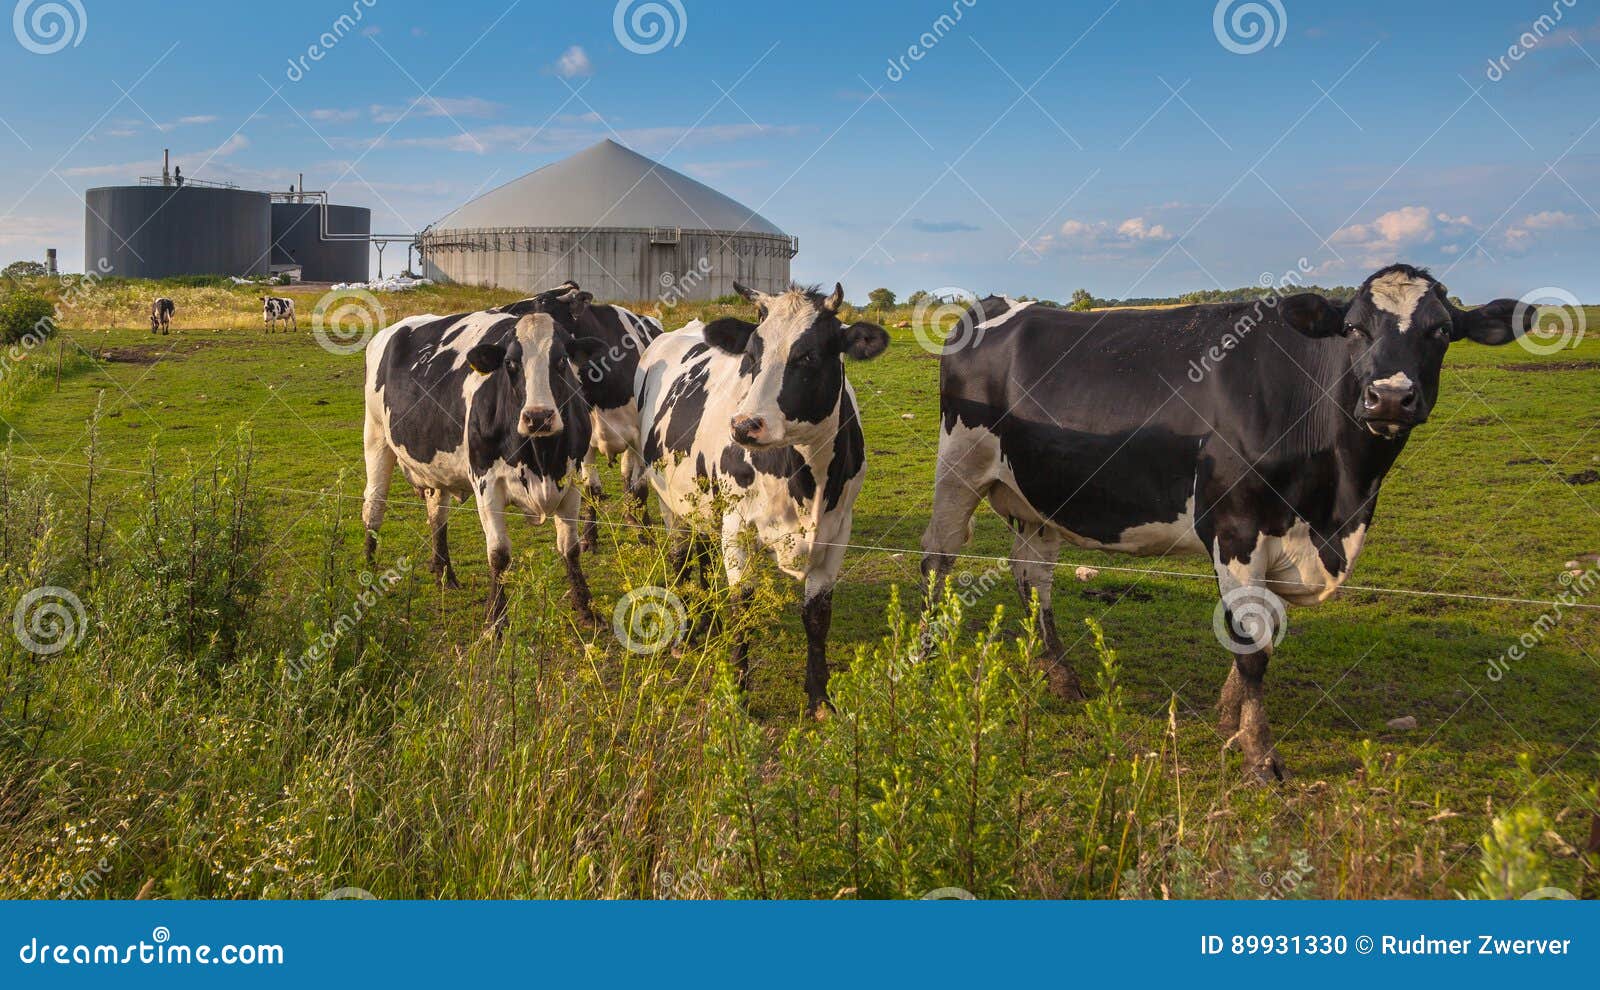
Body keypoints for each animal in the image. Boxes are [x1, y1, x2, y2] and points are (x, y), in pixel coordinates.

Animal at [363, 308, 601, 626]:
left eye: (561, 360)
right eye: (510, 363)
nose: (538, 417)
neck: (541, 458)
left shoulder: (571, 480)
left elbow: (571, 549)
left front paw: (586, 609)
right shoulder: (486, 483)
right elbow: (499, 554)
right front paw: (495, 621)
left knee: (437, 515)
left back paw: (445, 574)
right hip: (376, 436)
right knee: (373, 508)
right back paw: (368, 578)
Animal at [486, 283, 662, 546]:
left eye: (542, 301)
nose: (500, 312)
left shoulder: (639, 438)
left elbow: (639, 486)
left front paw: (645, 534)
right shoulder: (586, 441)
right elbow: (591, 489)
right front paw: (589, 536)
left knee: (628, 478)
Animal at [633, 283, 889, 716]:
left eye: (808, 355)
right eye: (752, 355)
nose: (744, 425)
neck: (805, 480)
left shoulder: (838, 531)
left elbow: (817, 615)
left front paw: (820, 697)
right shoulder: (737, 526)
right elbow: (743, 607)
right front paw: (737, 695)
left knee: (702, 552)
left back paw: (707, 621)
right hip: (670, 500)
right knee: (681, 557)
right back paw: (685, 634)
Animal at [921, 263, 1529, 783]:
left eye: (1442, 331)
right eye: (1354, 328)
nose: (1390, 398)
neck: (1338, 506)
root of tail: (994, 304)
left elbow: (1264, 636)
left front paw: (1227, 716)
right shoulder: (1236, 527)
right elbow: (1252, 648)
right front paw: (1259, 754)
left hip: (1036, 497)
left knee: (1033, 578)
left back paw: (1061, 678)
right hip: (958, 468)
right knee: (938, 558)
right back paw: (925, 656)